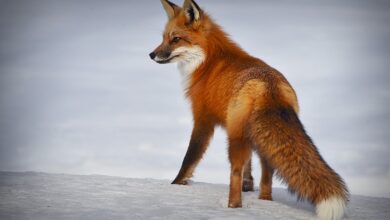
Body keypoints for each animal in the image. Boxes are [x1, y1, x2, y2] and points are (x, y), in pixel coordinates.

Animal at [150, 0, 350, 219]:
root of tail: (269, 86)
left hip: (236, 138)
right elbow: (249, 168)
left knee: (235, 172)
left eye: (175, 39)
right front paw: (249, 186)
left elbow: (190, 158)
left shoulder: (203, 119)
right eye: (163, 38)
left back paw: (233, 207)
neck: (208, 62)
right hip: (258, 138)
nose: (151, 55)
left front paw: (176, 185)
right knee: (267, 173)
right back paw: (265, 201)